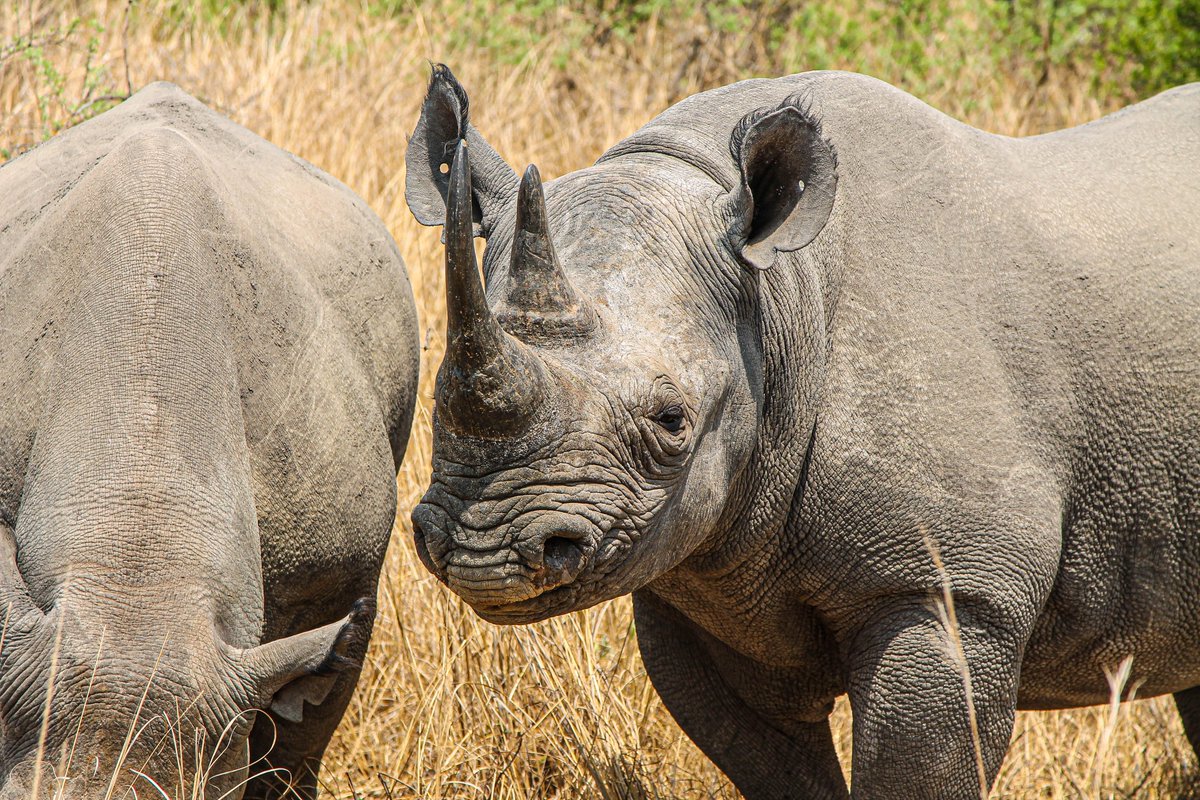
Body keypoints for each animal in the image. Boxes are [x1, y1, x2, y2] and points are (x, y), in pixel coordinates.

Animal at [405, 65, 1200, 798]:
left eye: (672, 422)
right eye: (433, 395)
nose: (484, 554)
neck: (777, 295)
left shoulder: (946, 588)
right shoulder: (703, 587)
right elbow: (772, 763)